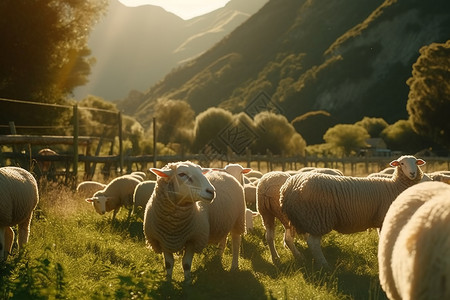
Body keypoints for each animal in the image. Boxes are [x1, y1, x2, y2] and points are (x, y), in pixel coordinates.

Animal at [282, 156, 426, 268]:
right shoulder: (384, 217)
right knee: (313, 243)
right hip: (317, 217)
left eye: (415, 162)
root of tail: (291, 186)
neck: (394, 186)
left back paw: (300, 257)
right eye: (402, 163)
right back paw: (324, 265)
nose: (412, 173)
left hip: (293, 218)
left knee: (288, 239)